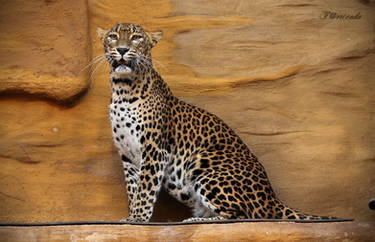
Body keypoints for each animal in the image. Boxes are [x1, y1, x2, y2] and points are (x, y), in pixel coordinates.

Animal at [97, 22, 334, 223]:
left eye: (136, 38)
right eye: (113, 37)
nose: (122, 50)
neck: (123, 89)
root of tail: (271, 197)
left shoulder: (154, 149)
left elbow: (145, 188)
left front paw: (137, 218)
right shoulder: (128, 154)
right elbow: (132, 187)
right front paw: (131, 216)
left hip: (203, 162)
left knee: (241, 216)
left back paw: (197, 220)